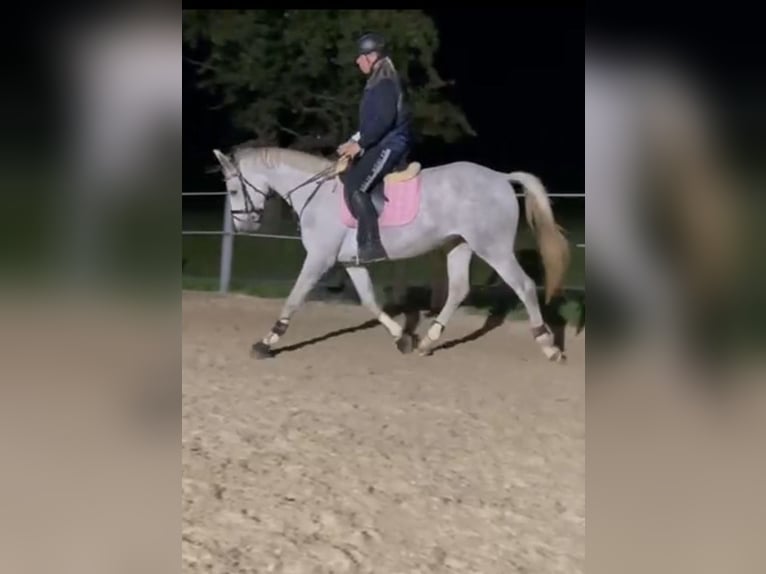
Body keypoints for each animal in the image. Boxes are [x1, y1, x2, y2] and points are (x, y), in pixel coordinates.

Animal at [212, 145, 571, 361]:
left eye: (233, 189)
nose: (243, 225)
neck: (317, 194)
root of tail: (500, 178)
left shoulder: (320, 259)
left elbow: (294, 298)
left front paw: (266, 342)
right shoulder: (350, 261)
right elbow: (370, 301)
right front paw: (402, 337)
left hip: (492, 246)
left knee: (524, 286)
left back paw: (549, 346)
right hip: (459, 244)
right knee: (458, 290)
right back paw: (427, 342)